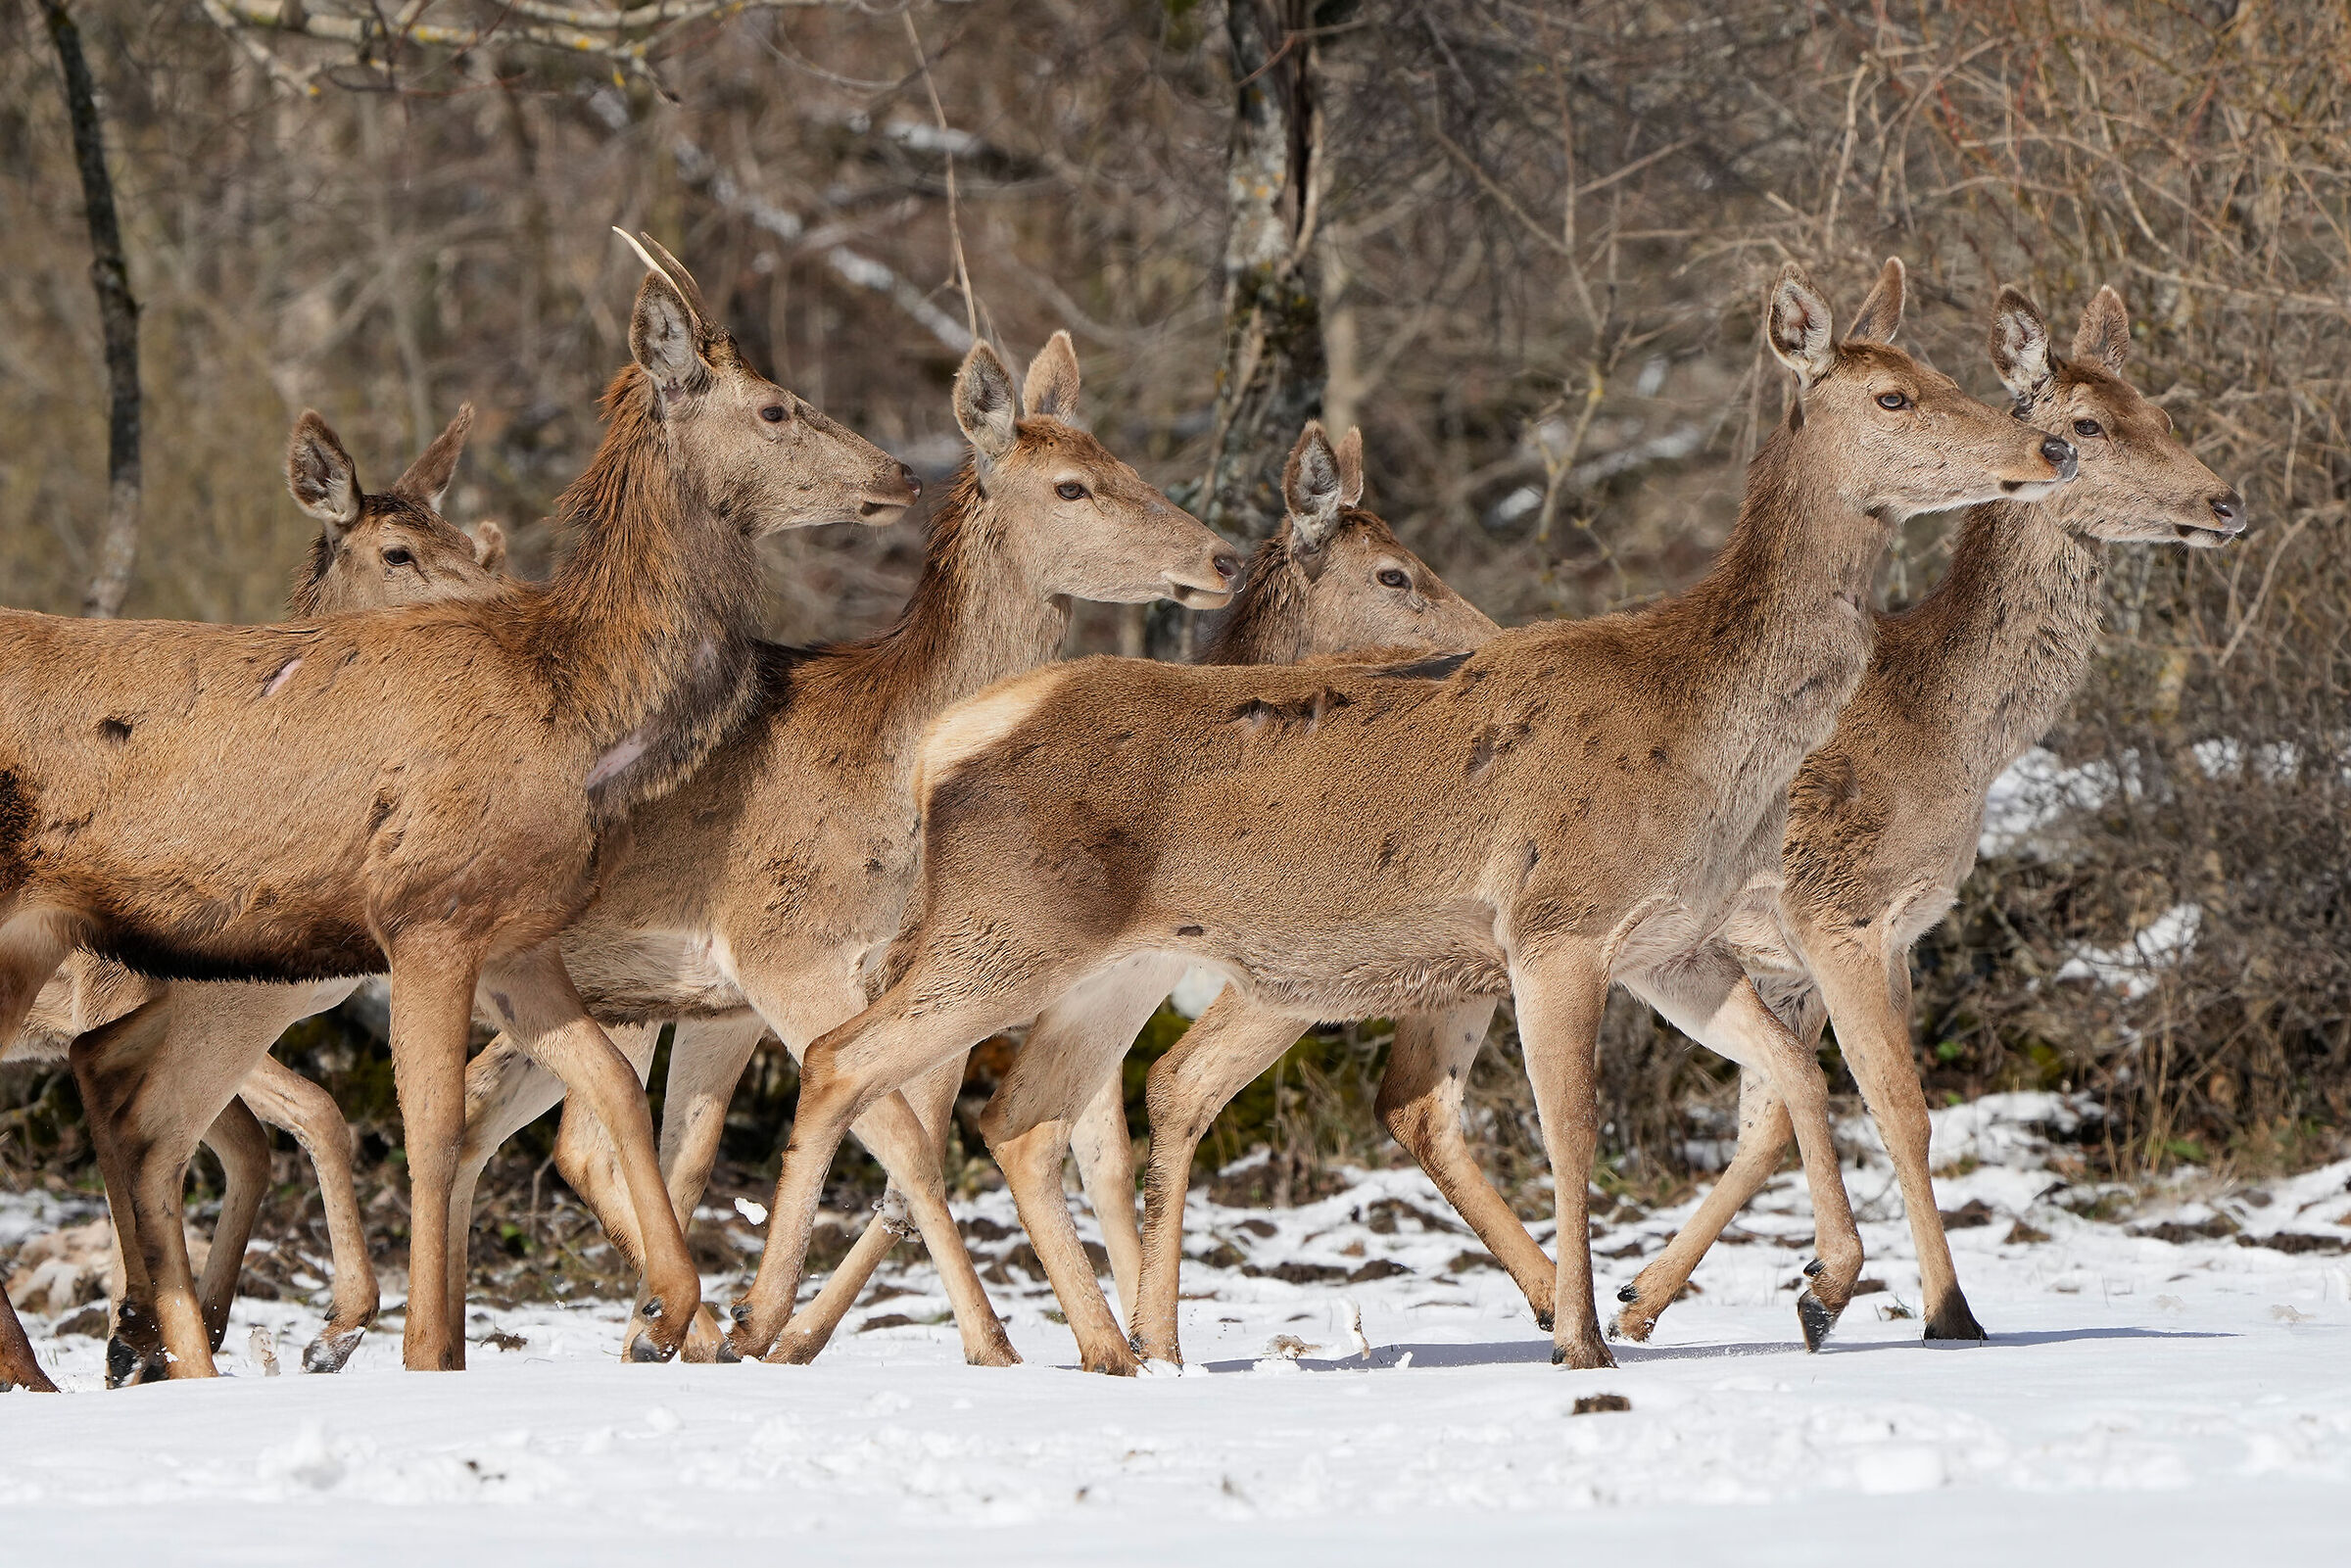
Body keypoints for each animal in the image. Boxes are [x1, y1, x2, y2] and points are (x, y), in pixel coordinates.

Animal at [3, 407, 508, 1389]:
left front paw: (154, 1331)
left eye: (470, 541)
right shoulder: (137, 995)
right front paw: (325, 1324)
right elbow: (305, 1115)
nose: (505, 608)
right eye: (397, 552)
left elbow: (259, 1136)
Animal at [437, 330, 1242, 1367]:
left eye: (1123, 462)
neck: (889, 765)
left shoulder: (839, 973)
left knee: (498, 1112)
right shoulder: (787, 952)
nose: (1223, 557)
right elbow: (899, 1133)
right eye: (1072, 486)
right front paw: (986, 1345)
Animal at [718, 258, 2083, 1375]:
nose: (2051, 452)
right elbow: (1575, 1129)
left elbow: (1796, 1071)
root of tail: (945, 742)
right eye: (1893, 397)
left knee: (1020, 1112)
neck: (1699, 716)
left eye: (1943, 371)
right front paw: (1586, 1336)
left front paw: (1822, 1287)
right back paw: (756, 1325)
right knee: (846, 1057)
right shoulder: (1557, 915)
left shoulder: (1670, 938)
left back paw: (1105, 1349)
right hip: (1007, 924)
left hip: (1101, 964)